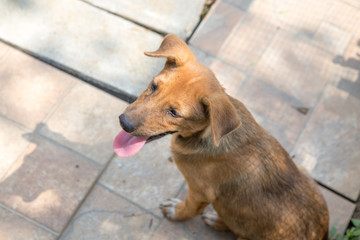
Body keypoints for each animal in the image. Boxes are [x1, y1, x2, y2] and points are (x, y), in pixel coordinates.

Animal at [118, 34, 330, 239]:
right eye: (154, 86)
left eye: (174, 113)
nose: (123, 122)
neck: (204, 135)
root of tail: (322, 233)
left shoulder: (199, 192)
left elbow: (188, 209)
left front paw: (176, 212)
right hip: (303, 170)